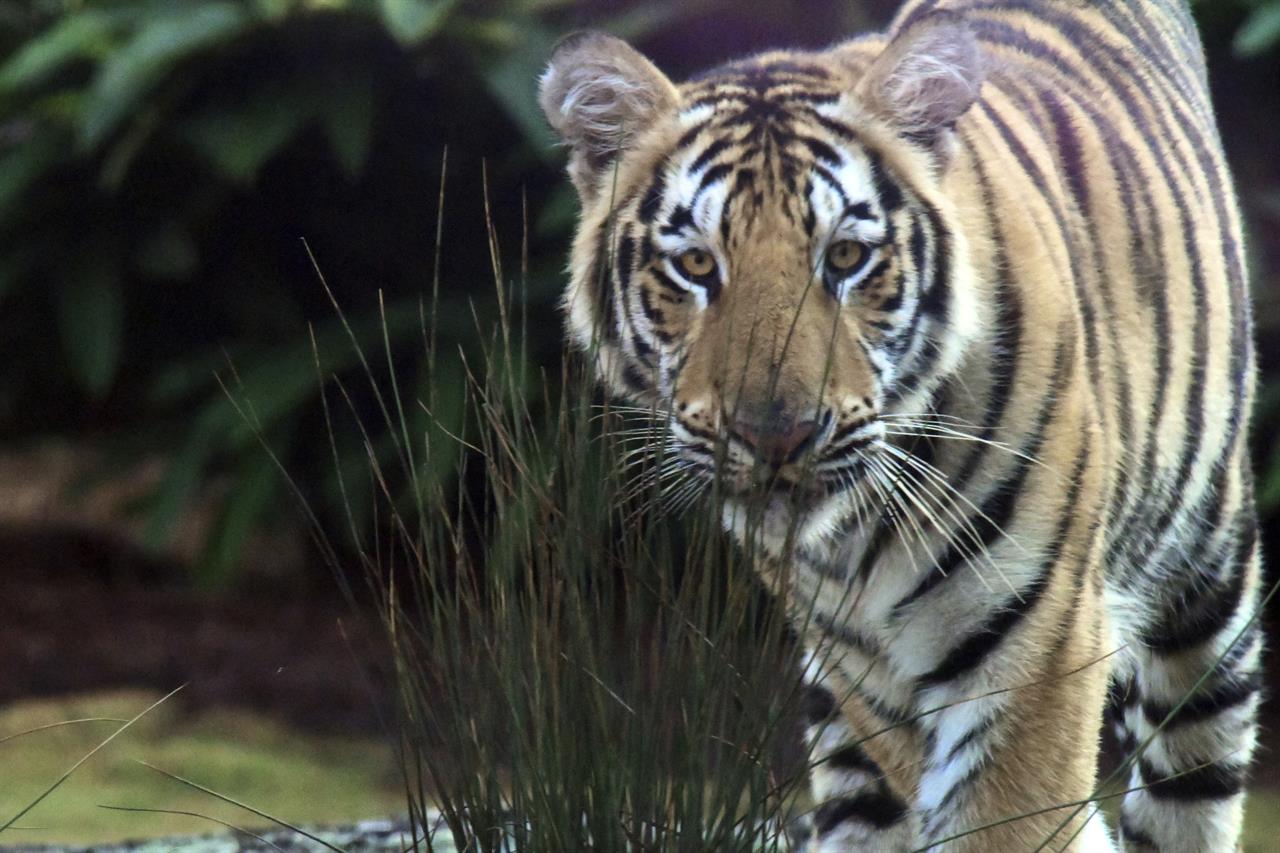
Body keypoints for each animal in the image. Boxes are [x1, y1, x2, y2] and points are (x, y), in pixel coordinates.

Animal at [538, 0, 1262, 850]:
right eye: (696, 266)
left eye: (847, 257)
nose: (776, 435)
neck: (857, 536)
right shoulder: (862, 671)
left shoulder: (1034, 646)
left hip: (1205, 590)